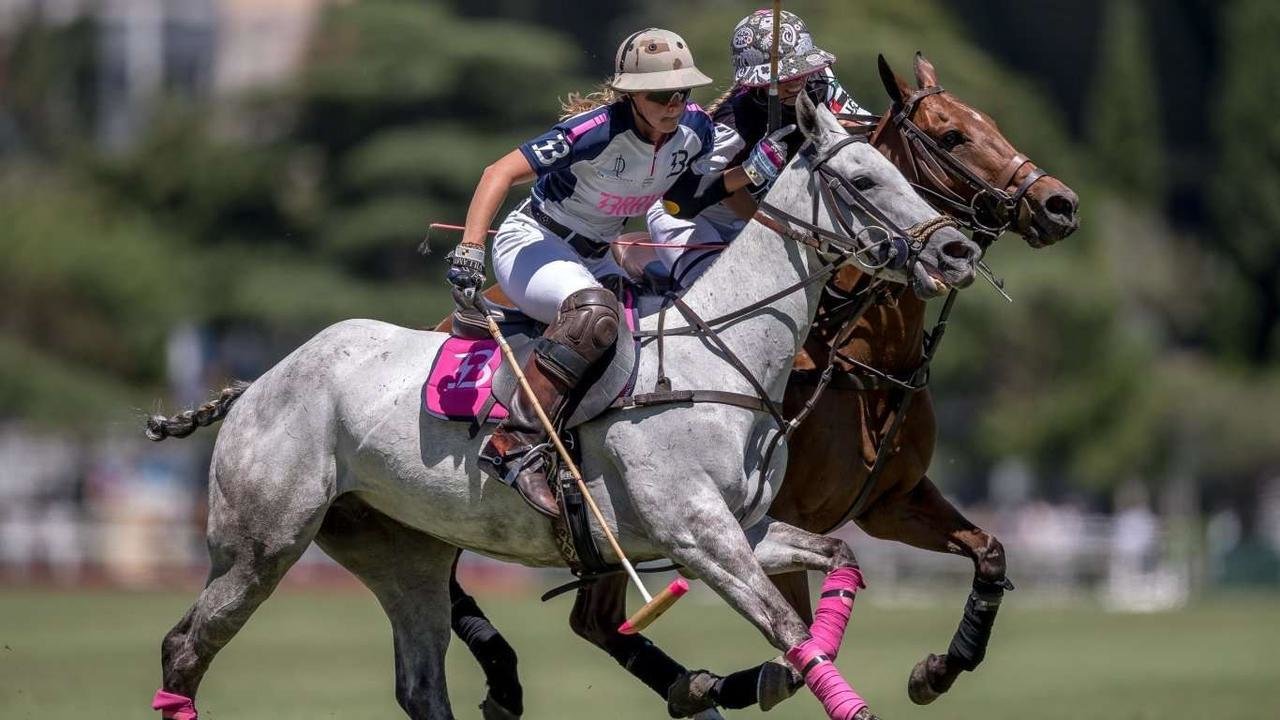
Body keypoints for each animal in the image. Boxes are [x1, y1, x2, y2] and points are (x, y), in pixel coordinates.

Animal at [145, 99, 972, 717]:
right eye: (864, 178)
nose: (958, 251)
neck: (718, 355)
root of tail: (261, 381)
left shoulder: (743, 529)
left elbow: (838, 563)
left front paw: (773, 677)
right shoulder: (699, 534)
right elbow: (784, 622)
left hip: (401, 551)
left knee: (421, 684)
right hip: (263, 541)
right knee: (185, 648)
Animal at [322, 50, 1070, 712]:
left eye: (989, 120)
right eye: (950, 134)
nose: (1059, 205)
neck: (856, 361)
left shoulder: (891, 500)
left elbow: (989, 553)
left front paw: (937, 669)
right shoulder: (741, 522)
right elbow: (796, 642)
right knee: (551, 609)